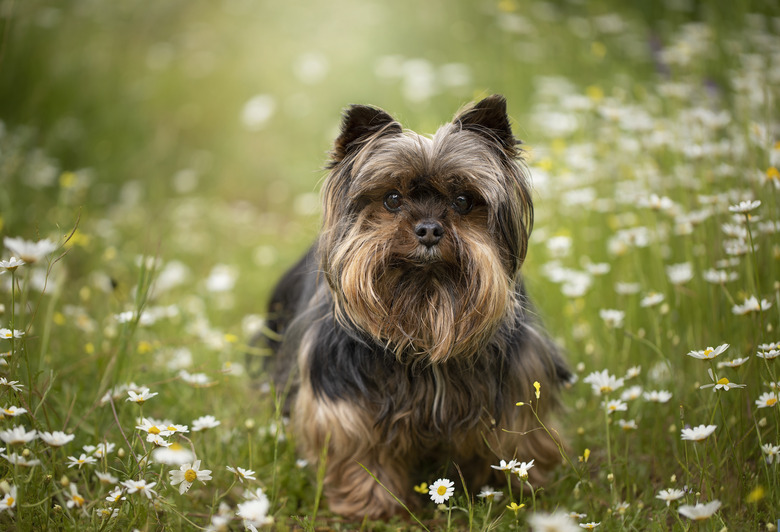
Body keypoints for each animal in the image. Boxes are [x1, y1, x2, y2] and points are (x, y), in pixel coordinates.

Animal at [258, 95, 568, 520]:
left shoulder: (517, 376)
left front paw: (513, 486)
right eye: (392, 199)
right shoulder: (347, 394)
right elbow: (361, 447)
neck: (427, 304)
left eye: (463, 200)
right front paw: (372, 504)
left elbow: (514, 437)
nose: (429, 229)